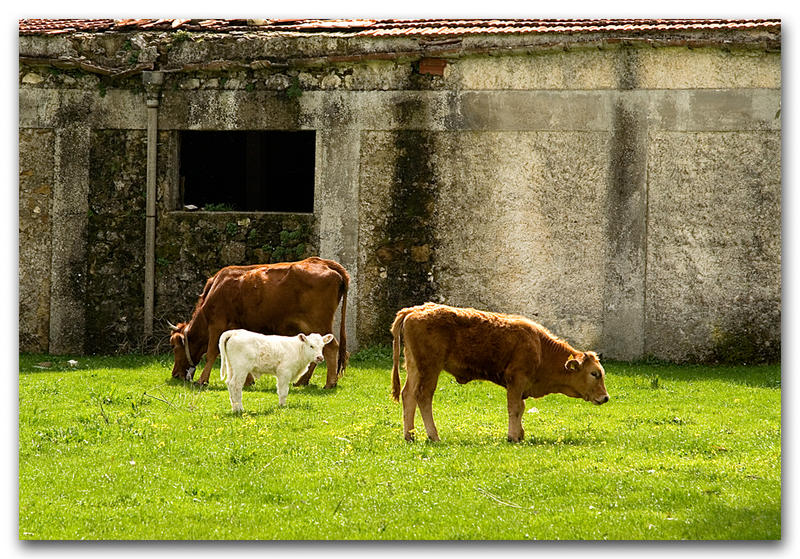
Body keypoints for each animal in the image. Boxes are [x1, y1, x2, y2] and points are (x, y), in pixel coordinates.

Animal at [170, 258, 348, 390]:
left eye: (174, 346)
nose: (175, 375)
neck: (215, 288)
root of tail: (322, 262)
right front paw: (248, 381)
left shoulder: (217, 324)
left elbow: (212, 352)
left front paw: (202, 380)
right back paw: (302, 381)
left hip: (318, 322)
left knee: (332, 348)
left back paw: (330, 383)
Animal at [390, 304, 608, 444]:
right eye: (595, 373)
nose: (605, 398)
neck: (539, 347)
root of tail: (414, 310)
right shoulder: (516, 380)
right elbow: (515, 408)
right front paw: (513, 436)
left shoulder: (520, 386)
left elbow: (521, 407)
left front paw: (520, 434)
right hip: (430, 369)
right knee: (423, 396)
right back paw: (433, 436)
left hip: (414, 367)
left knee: (408, 395)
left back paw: (410, 436)